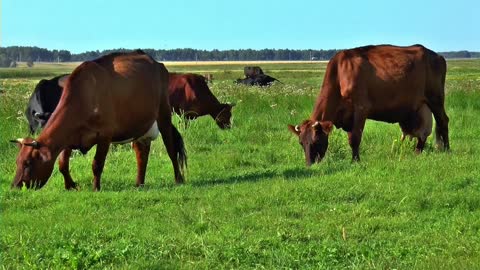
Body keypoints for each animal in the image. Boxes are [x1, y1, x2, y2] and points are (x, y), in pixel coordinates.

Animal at [10, 50, 188, 190]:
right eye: (17, 161)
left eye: (28, 163)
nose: (14, 186)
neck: (83, 97)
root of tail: (156, 63)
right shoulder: (68, 137)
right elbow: (62, 164)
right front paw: (70, 186)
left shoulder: (105, 136)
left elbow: (97, 164)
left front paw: (96, 187)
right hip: (140, 125)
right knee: (142, 153)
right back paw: (139, 184)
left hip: (164, 114)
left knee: (171, 148)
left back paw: (178, 179)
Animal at [288, 44, 450, 167]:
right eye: (301, 143)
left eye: (316, 141)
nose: (309, 164)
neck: (340, 75)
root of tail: (437, 56)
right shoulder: (349, 116)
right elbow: (351, 138)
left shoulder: (361, 109)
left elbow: (355, 138)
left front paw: (355, 161)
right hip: (420, 107)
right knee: (423, 132)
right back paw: (417, 152)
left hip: (436, 99)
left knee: (443, 121)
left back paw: (448, 149)